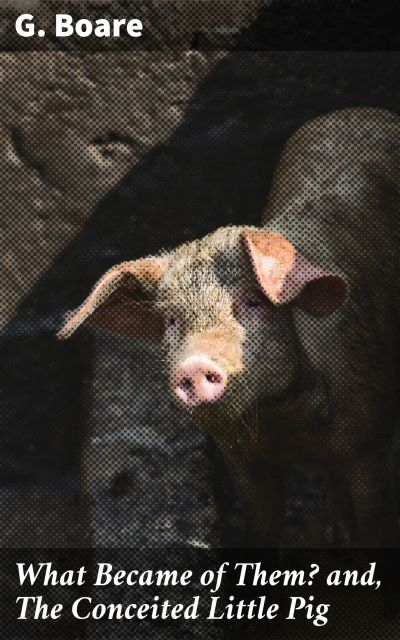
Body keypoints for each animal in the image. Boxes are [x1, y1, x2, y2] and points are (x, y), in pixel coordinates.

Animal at [58, 107, 400, 547]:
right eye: (171, 320)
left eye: (253, 303)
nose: (193, 365)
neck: (283, 427)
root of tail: (358, 110)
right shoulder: (241, 461)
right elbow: (262, 527)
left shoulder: (368, 444)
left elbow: (375, 522)